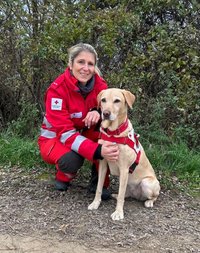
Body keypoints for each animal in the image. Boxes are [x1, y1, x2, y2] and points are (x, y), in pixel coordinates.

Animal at [88, 88, 160, 220]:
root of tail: (138, 195)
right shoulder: (103, 164)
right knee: (125, 194)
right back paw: (116, 195)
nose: (105, 113)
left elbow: (121, 197)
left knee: (154, 196)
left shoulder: (124, 168)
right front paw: (95, 203)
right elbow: (99, 187)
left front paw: (118, 213)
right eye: (103, 100)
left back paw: (149, 202)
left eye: (117, 101)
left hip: (147, 183)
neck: (112, 133)